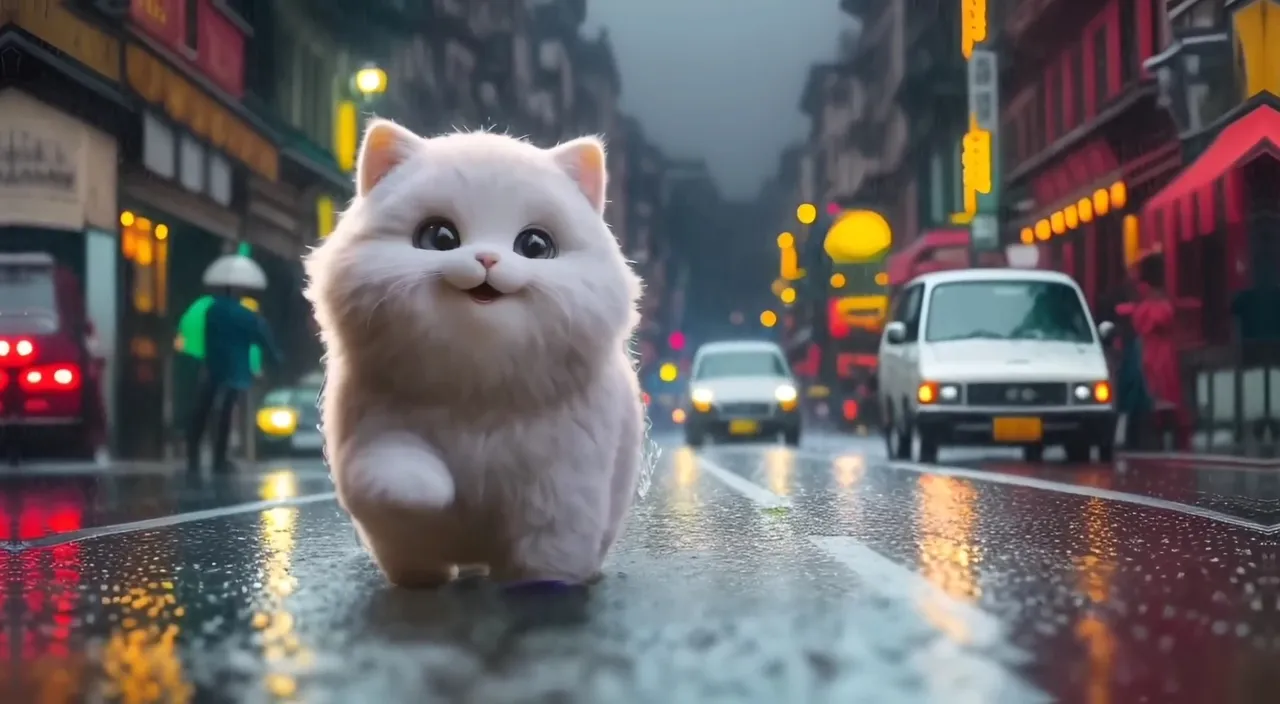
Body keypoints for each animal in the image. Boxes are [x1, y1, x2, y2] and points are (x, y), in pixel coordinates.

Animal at [304, 121, 645, 591]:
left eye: (535, 245)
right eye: (439, 237)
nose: (486, 258)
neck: (479, 384)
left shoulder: (561, 481)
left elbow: (550, 543)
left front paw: (542, 585)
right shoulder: (371, 428)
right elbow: (392, 471)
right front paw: (436, 491)